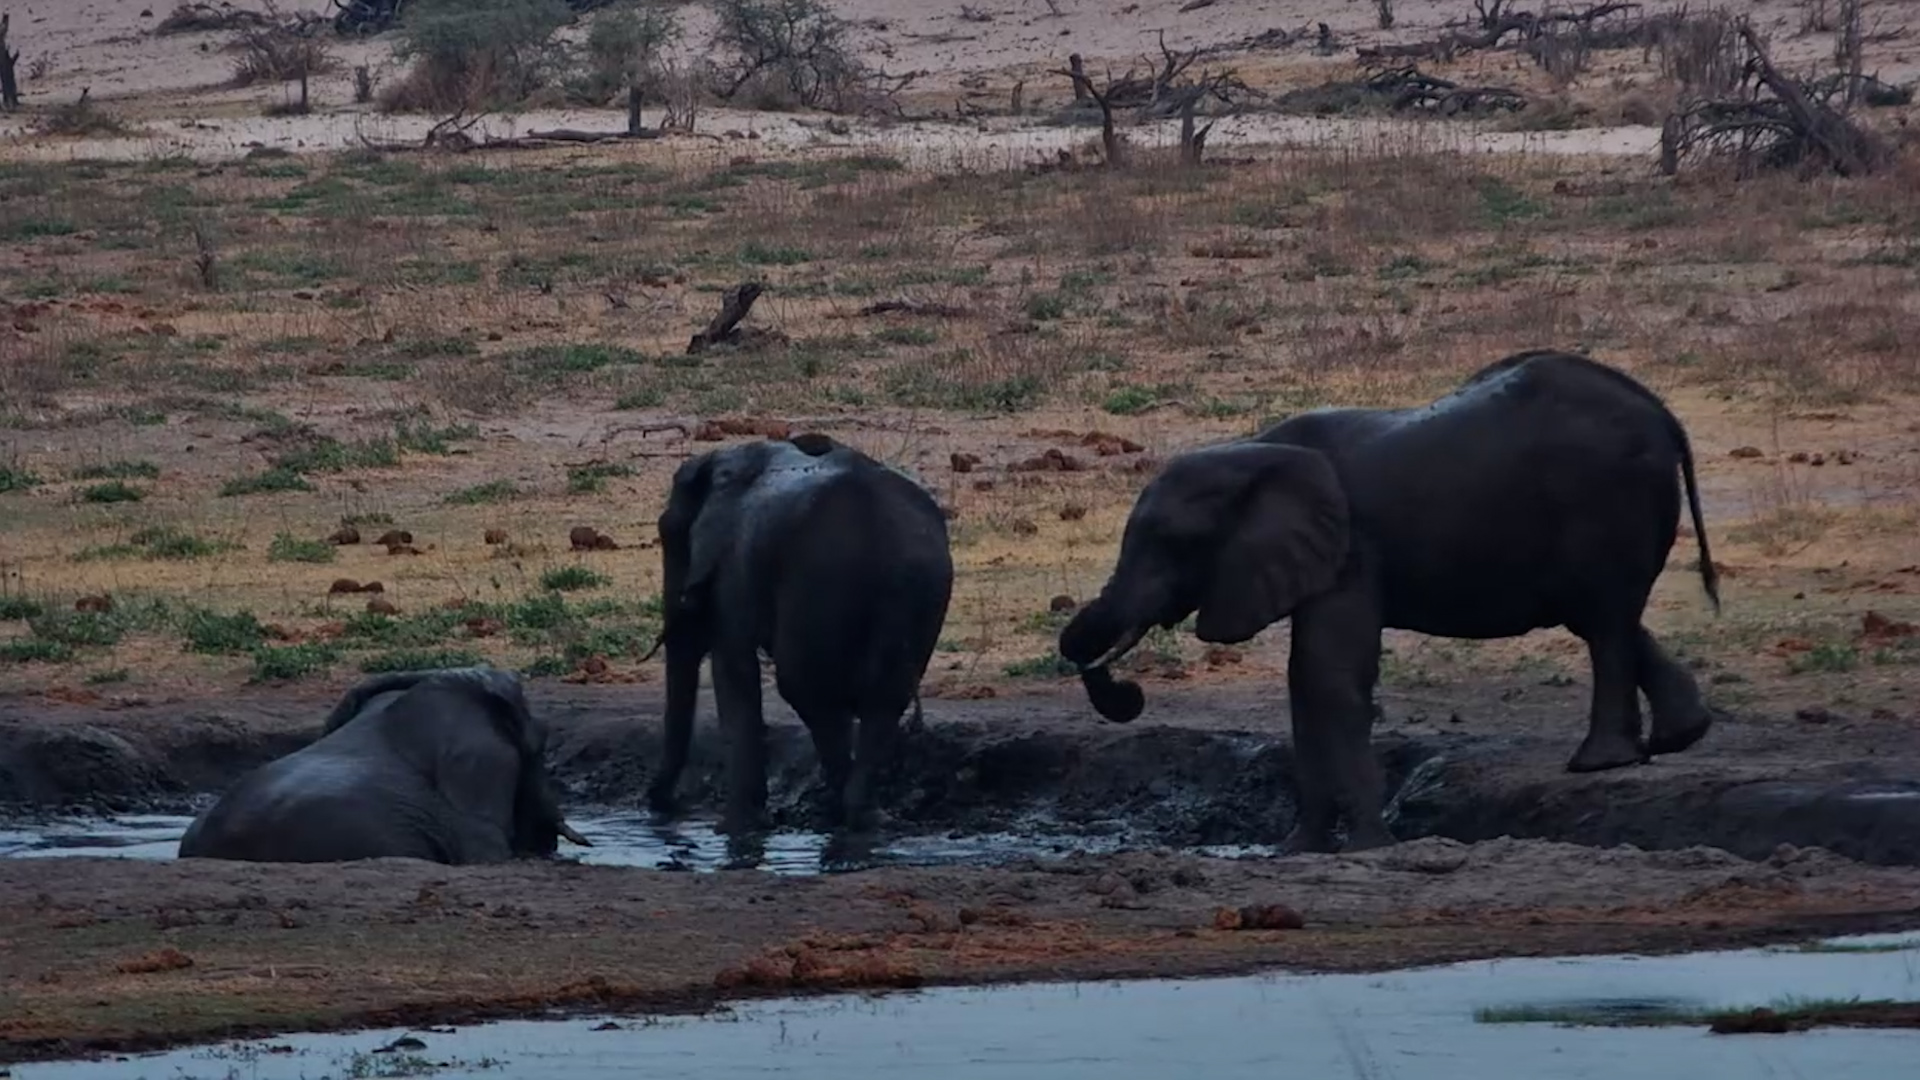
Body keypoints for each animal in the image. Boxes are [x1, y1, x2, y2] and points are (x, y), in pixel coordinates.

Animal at [644, 432, 954, 834]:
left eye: (669, 532)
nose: (664, 805)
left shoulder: (732, 567)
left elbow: (733, 670)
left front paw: (737, 828)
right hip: (920, 589)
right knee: (881, 703)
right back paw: (865, 817)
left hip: (821, 582)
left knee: (809, 691)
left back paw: (847, 810)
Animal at [1058, 349, 1720, 854]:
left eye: (1174, 543)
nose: (1128, 693)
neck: (1254, 452)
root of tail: (1663, 412)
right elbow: (1305, 682)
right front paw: (1298, 851)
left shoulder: (1351, 549)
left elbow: (1327, 676)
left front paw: (1365, 847)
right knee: (1605, 615)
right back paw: (1678, 736)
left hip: (1609, 503)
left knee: (1604, 621)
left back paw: (1600, 764)